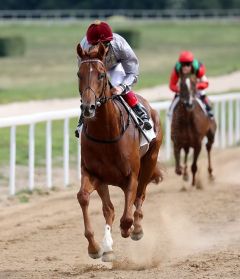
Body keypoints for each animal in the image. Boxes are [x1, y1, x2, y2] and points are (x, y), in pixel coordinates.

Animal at [76, 42, 163, 262]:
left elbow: (127, 215)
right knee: (110, 209)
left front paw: (130, 229)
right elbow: (84, 198)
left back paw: (137, 228)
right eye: (79, 74)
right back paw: (108, 247)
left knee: (140, 196)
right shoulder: (94, 174)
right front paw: (95, 247)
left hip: (150, 160)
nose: (88, 107)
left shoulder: (131, 176)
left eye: (101, 75)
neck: (106, 133)